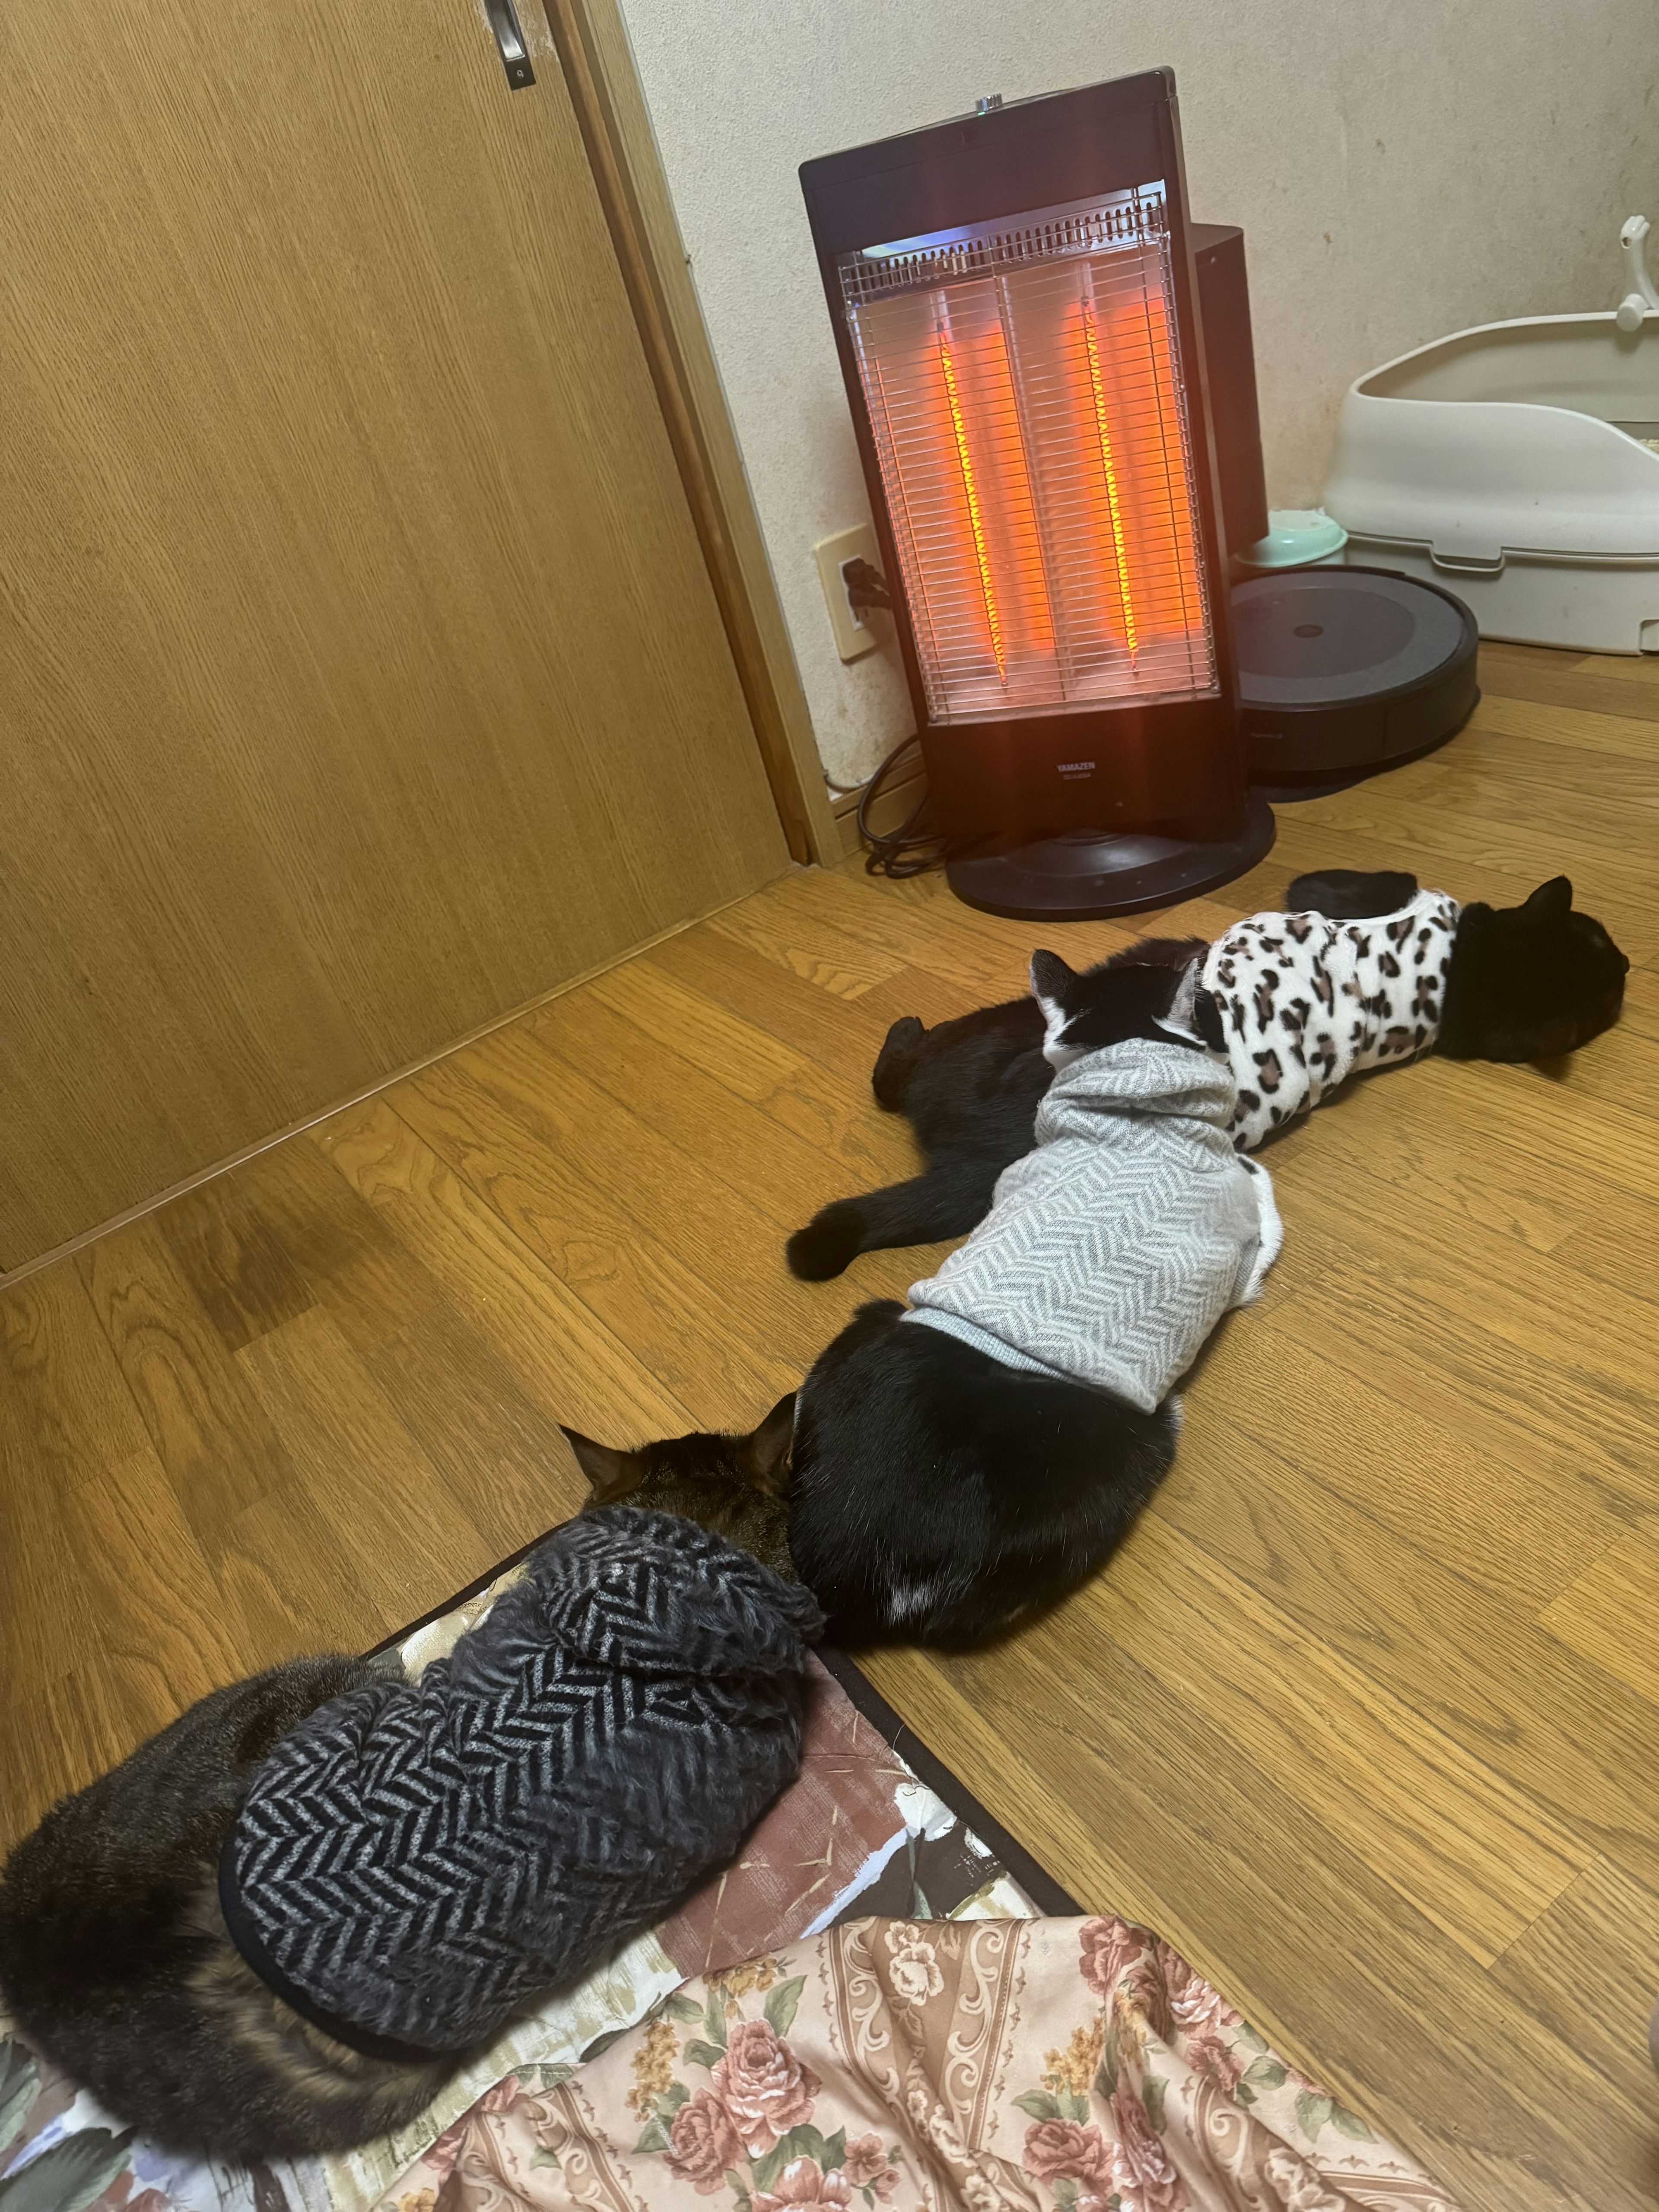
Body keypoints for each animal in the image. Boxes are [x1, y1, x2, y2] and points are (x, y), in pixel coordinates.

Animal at [787, 960, 1283, 1654]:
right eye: (1211, 1003)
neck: (1131, 1102)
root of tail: (848, 1588)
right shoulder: (1241, 1252)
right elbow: (1264, 1202)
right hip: (1142, 1445)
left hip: (869, 1323)